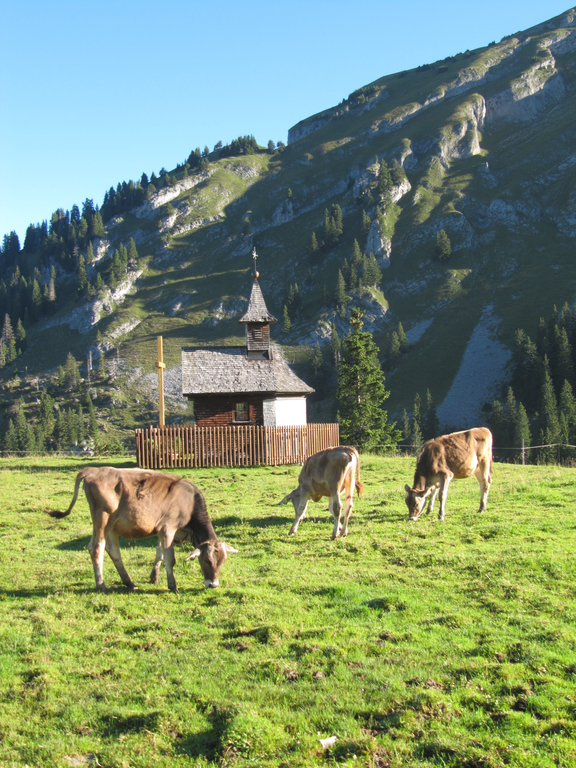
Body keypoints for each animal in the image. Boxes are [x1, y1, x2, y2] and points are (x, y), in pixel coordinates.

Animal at [46, 467, 237, 592]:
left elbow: (160, 554)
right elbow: (170, 558)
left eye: (222, 561)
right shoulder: (168, 528)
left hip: (111, 525)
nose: (213, 584)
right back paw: (101, 585)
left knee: (114, 551)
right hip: (101, 518)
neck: (189, 503)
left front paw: (154, 577)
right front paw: (172, 586)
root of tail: (91, 471)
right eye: (206, 560)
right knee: (96, 548)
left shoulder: (162, 531)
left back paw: (129, 583)